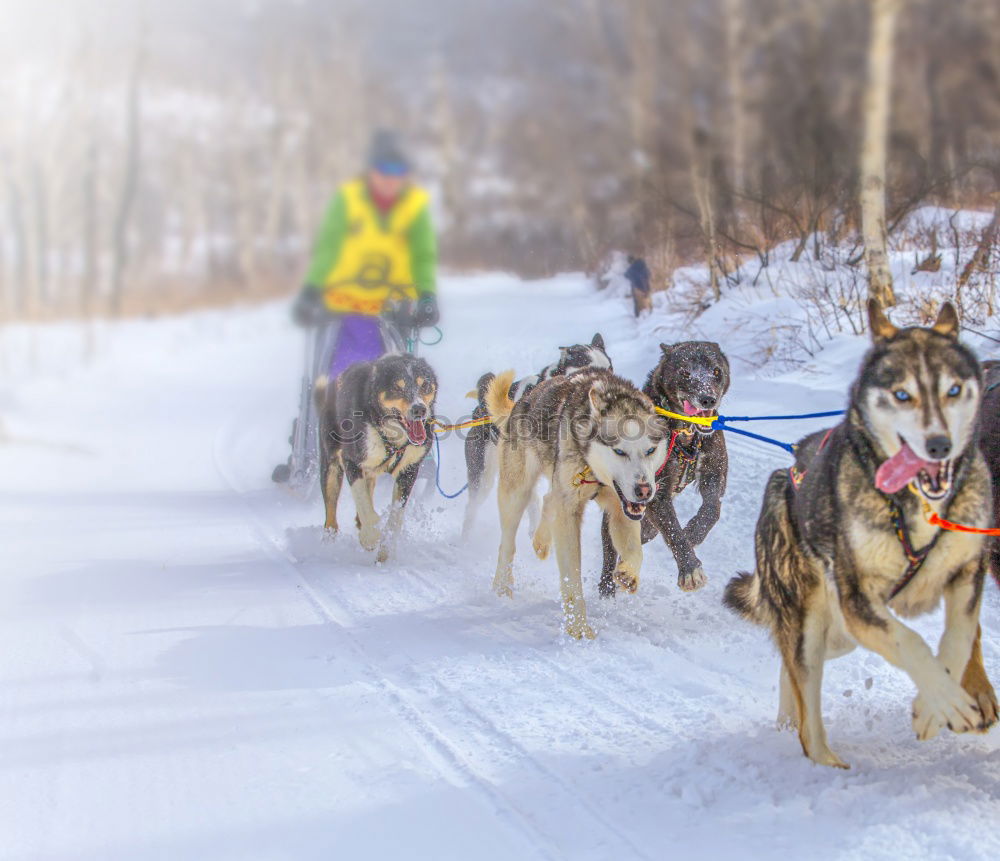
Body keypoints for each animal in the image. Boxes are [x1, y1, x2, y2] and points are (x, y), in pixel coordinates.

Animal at [314, 352, 436, 560]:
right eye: (397, 386)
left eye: (424, 384)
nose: (419, 409)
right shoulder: (351, 461)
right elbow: (363, 503)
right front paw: (370, 537)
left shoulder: (409, 470)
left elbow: (395, 516)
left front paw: (386, 551)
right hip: (331, 466)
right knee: (331, 515)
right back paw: (329, 541)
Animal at [486, 364, 668, 640]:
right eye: (619, 451)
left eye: (650, 451)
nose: (644, 491)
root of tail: (524, 400)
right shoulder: (569, 512)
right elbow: (572, 579)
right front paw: (578, 627)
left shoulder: (621, 510)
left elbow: (635, 550)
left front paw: (628, 574)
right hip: (516, 492)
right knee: (507, 543)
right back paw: (502, 586)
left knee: (549, 500)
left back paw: (541, 542)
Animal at [596, 340, 732, 596]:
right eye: (685, 372)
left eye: (716, 371)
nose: (707, 398)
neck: (686, 432)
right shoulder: (656, 493)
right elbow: (673, 531)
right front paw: (690, 569)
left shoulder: (714, 474)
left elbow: (712, 510)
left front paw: (694, 532)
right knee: (610, 550)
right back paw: (607, 587)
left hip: (647, 527)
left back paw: (626, 572)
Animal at [724, 300, 996, 764]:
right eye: (902, 394)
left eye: (953, 390)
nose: (939, 444)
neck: (914, 504)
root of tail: (786, 472)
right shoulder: (858, 601)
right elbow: (912, 643)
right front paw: (944, 702)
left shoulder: (966, 573)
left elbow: (958, 639)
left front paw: (937, 706)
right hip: (815, 620)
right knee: (806, 707)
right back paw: (827, 765)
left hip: (837, 636)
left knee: (790, 670)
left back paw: (788, 719)